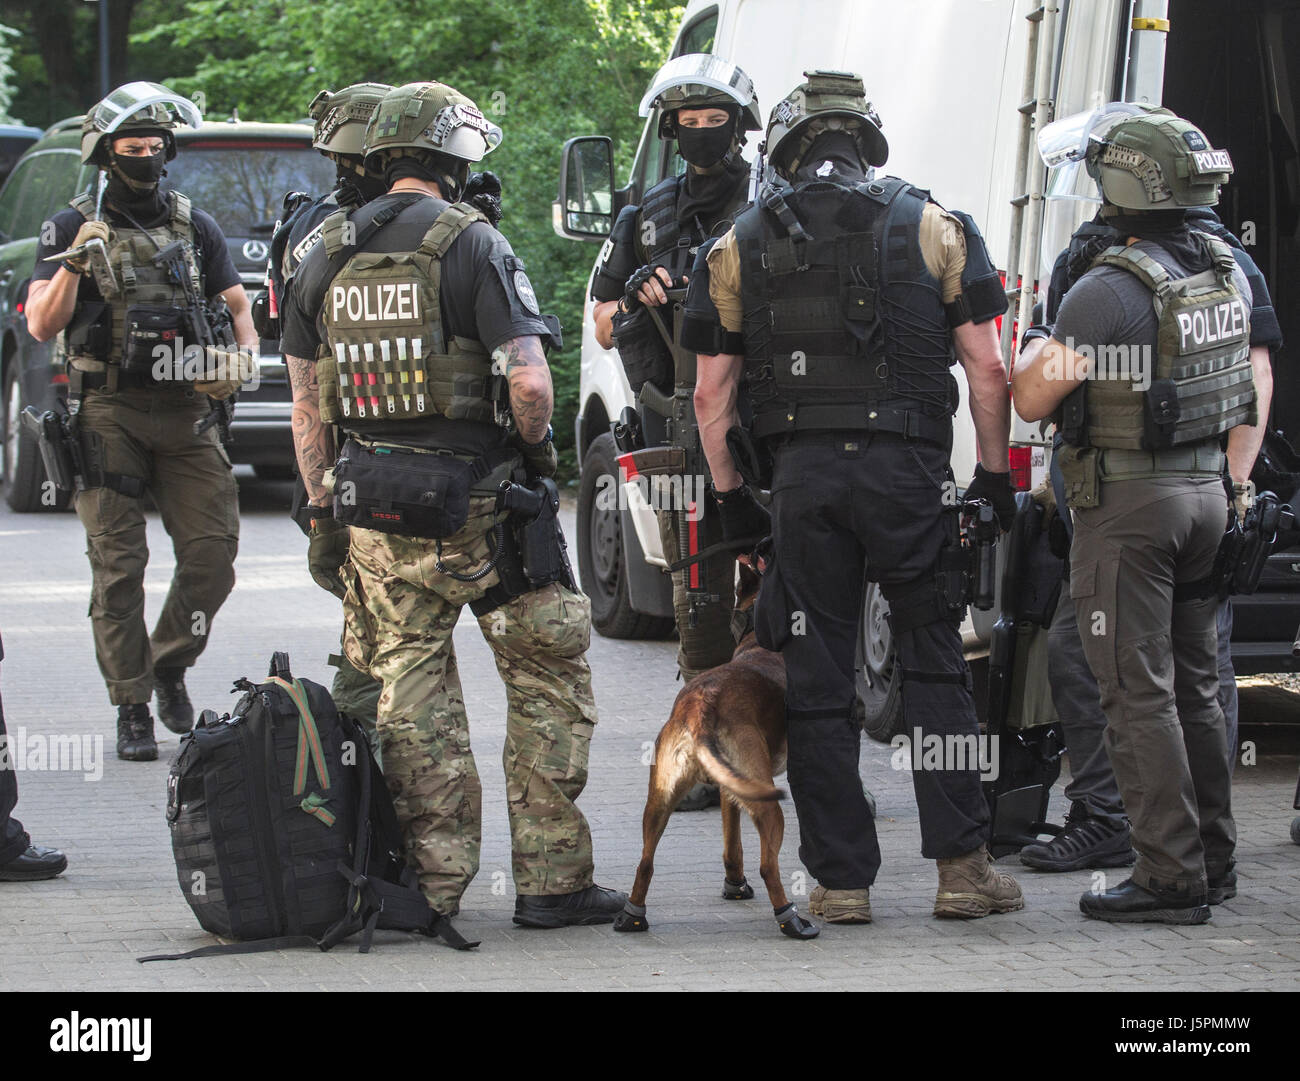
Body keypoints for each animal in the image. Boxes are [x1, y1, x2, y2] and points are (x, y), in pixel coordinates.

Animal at [613, 561, 816, 940]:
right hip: (768, 807)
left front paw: (734, 885)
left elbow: (731, 843)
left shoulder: (729, 790)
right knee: (768, 866)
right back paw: (791, 919)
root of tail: (700, 705)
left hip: (659, 801)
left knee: (645, 862)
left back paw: (632, 916)